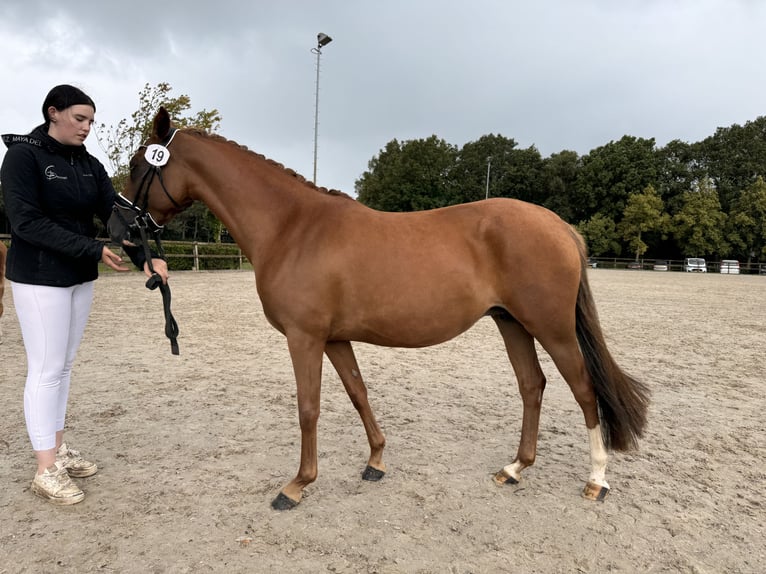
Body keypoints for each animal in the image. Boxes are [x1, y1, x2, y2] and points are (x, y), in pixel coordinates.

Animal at [108, 109, 648, 512]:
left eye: (138, 165)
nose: (117, 229)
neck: (292, 227)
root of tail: (560, 226)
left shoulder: (304, 337)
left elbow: (309, 408)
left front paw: (297, 485)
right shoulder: (334, 338)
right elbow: (358, 394)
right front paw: (376, 462)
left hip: (552, 327)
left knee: (583, 389)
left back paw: (596, 480)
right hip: (511, 323)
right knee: (532, 387)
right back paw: (514, 469)